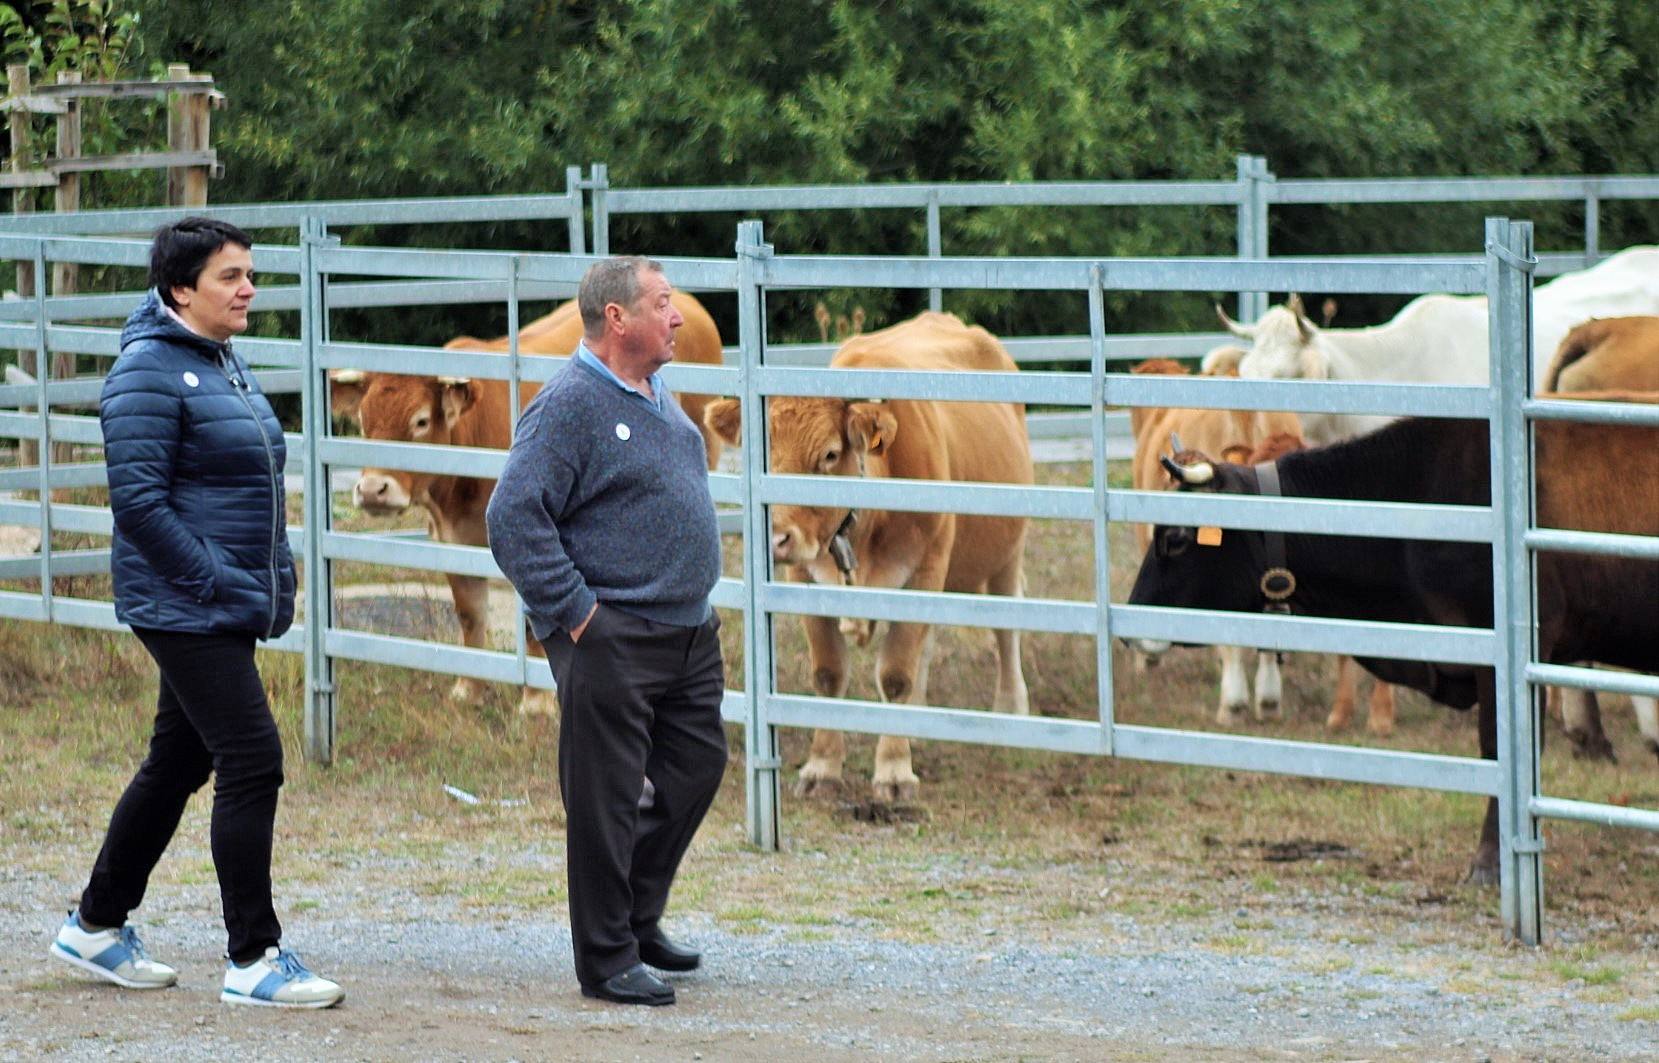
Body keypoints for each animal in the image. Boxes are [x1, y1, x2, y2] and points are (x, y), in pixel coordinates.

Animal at [330, 295, 726, 716]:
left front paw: (537, 702)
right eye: (363, 422)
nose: (373, 490)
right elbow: (470, 616)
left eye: (420, 421)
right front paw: (469, 688)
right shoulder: (454, 544)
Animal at [703, 311, 1035, 799]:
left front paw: (894, 772)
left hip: (1008, 549)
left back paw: (1011, 706)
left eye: (829, 454)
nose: (776, 537)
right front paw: (822, 767)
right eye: (760, 452)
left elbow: (896, 675)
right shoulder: (807, 581)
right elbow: (829, 673)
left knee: (1007, 623)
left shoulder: (924, 569)